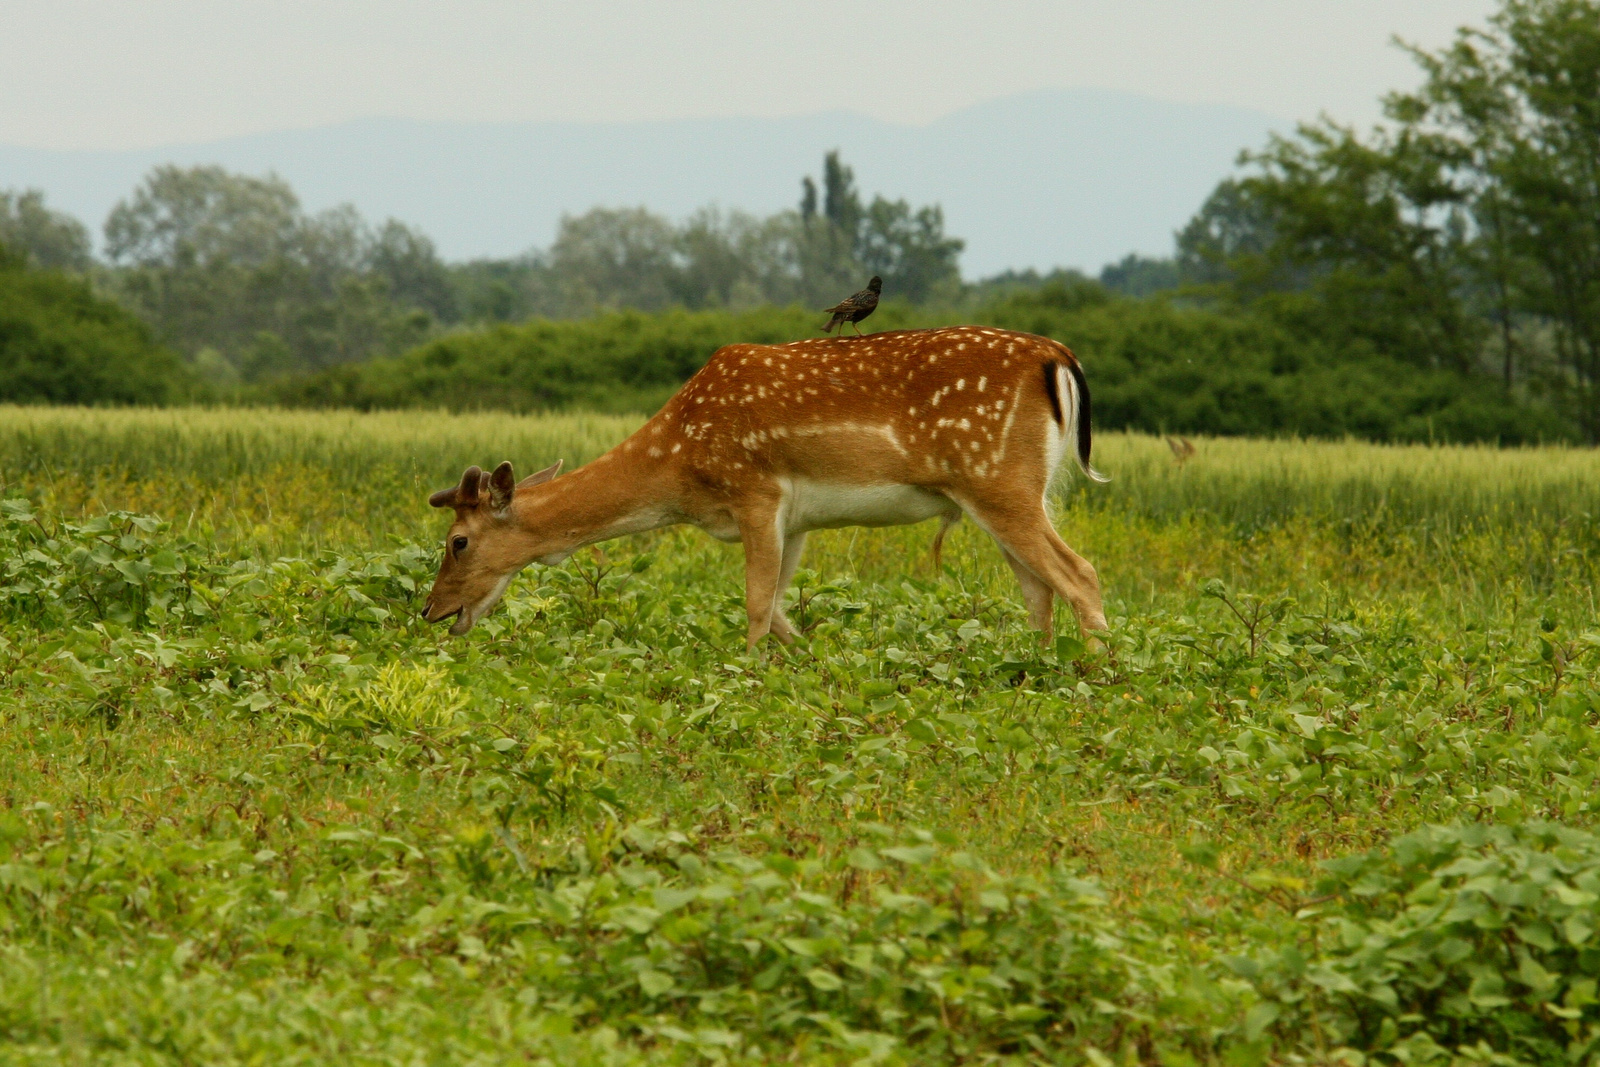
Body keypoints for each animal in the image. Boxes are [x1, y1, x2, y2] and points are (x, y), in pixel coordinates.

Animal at [419, 323, 1107, 652]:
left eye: (457, 541)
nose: (432, 611)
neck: (680, 470)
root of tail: (1059, 359)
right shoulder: (795, 519)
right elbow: (779, 606)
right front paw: (812, 667)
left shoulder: (755, 493)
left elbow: (753, 603)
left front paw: (747, 681)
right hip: (1009, 489)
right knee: (1038, 587)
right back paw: (1033, 669)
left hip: (998, 479)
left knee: (1079, 573)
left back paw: (1099, 676)